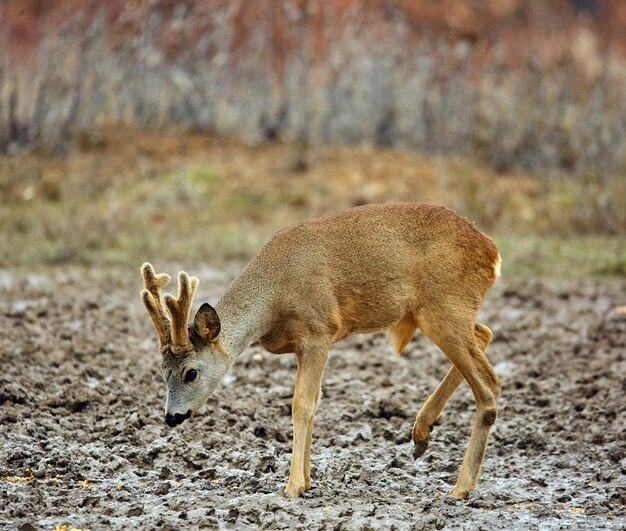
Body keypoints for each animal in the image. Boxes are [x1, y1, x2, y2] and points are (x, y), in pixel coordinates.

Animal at [139, 204, 500, 498]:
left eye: (191, 372)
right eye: (162, 371)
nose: (171, 417)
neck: (274, 297)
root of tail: (491, 251)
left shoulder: (318, 331)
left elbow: (302, 404)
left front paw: (293, 486)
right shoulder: (302, 345)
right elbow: (312, 403)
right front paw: (308, 480)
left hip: (444, 307)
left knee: (489, 385)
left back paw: (460, 487)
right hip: (443, 314)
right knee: (485, 334)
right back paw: (421, 435)